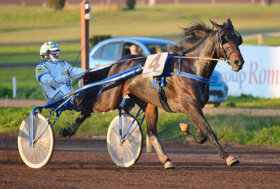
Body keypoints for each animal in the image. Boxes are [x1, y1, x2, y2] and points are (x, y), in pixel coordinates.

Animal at [60, 18, 243, 168]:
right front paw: (229, 157)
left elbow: (202, 134)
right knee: (87, 108)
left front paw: (186, 131)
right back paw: (69, 125)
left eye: (238, 39)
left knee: (151, 133)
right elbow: (209, 132)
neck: (191, 69)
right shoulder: (191, 106)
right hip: (109, 98)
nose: (238, 62)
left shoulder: (193, 108)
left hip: (147, 103)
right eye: (224, 39)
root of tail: (118, 62)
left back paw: (166, 159)